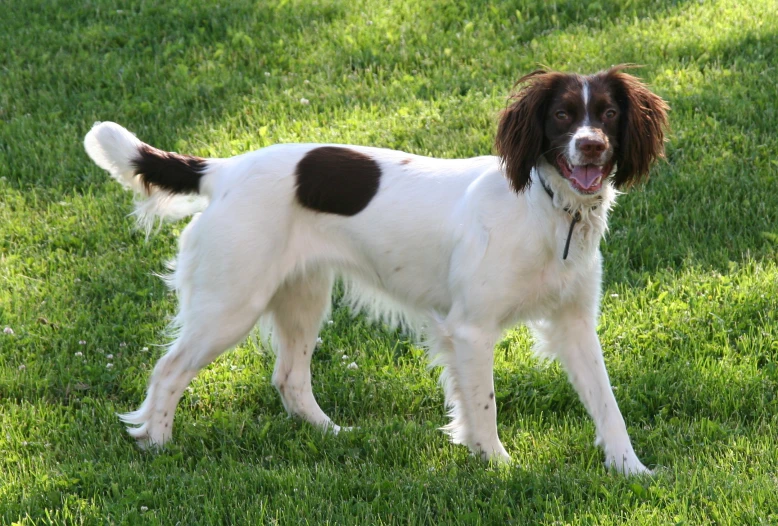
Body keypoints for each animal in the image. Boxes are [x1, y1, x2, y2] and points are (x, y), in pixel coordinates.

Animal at [85, 65, 668, 474]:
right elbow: (484, 406)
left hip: (303, 296)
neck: (546, 208)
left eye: (608, 115)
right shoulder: (472, 329)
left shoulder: (575, 324)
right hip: (231, 305)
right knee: (169, 370)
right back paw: (156, 443)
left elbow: (607, 404)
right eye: (562, 116)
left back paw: (331, 434)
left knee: (289, 378)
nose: (591, 146)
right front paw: (499, 465)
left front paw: (631, 469)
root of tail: (222, 169)